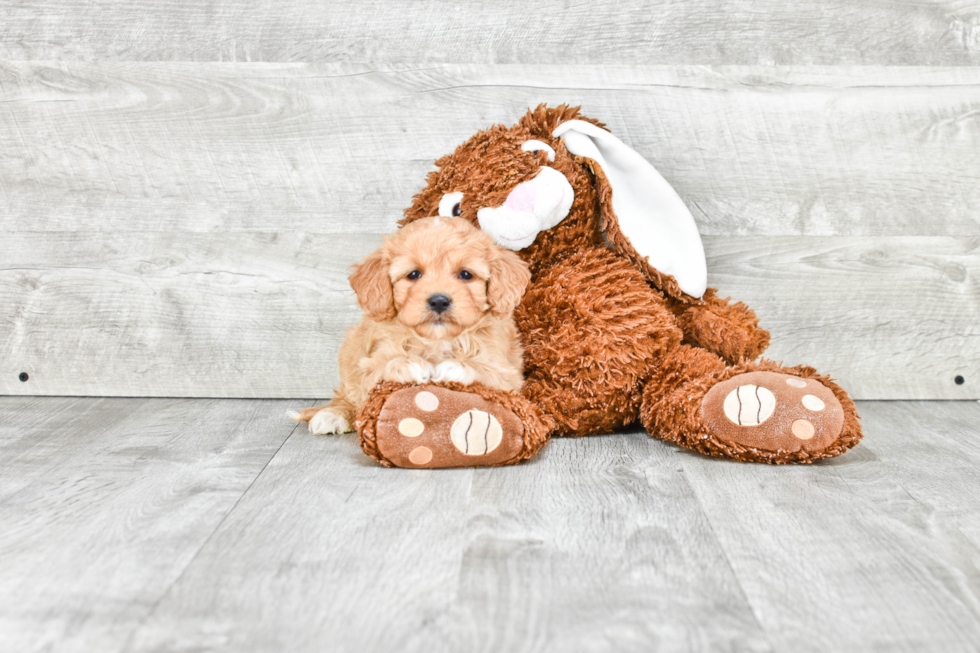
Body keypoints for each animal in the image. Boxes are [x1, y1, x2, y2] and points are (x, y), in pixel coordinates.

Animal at [292, 216, 528, 436]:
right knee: (348, 394)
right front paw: (409, 365)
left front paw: (454, 366)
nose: (439, 301)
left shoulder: (507, 372)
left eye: (466, 274)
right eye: (414, 274)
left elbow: (487, 368)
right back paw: (333, 414)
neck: (437, 339)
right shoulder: (370, 362)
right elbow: (379, 369)